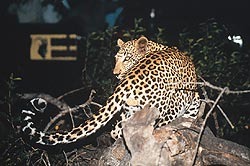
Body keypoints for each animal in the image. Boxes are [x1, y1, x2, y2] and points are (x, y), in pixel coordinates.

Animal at [22, 36, 201, 145]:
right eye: (116, 59)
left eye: (127, 59)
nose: (116, 74)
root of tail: (128, 81)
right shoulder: (190, 100)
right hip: (160, 109)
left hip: (131, 110)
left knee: (118, 131)